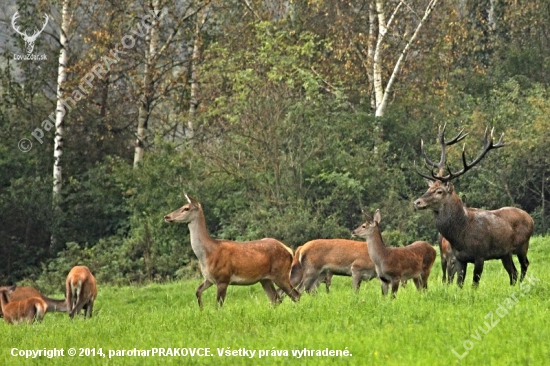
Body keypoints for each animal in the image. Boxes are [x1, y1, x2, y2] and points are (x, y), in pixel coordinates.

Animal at [165, 193, 302, 308]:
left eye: (186, 208)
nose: (167, 216)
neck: (206, 255)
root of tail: (289, 250)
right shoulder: (209, 278)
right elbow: (197, 291)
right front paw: (201, 309)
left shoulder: (223, 278)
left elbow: (218, 306)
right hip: (265, 279)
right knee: (276, 299)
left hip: (280, 273)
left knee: (296, 295)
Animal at [416, 124, 536, 288]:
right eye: (428, 188)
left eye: (439, 191)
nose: (417, 202)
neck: (460, 235)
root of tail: (531, 218)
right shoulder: (460, 258)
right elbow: (459, 283)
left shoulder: (480, 255)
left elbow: (474, 283)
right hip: (505, 253)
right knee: (513, 272)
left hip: (523, 245)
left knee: (524, 265)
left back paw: (520, 286)